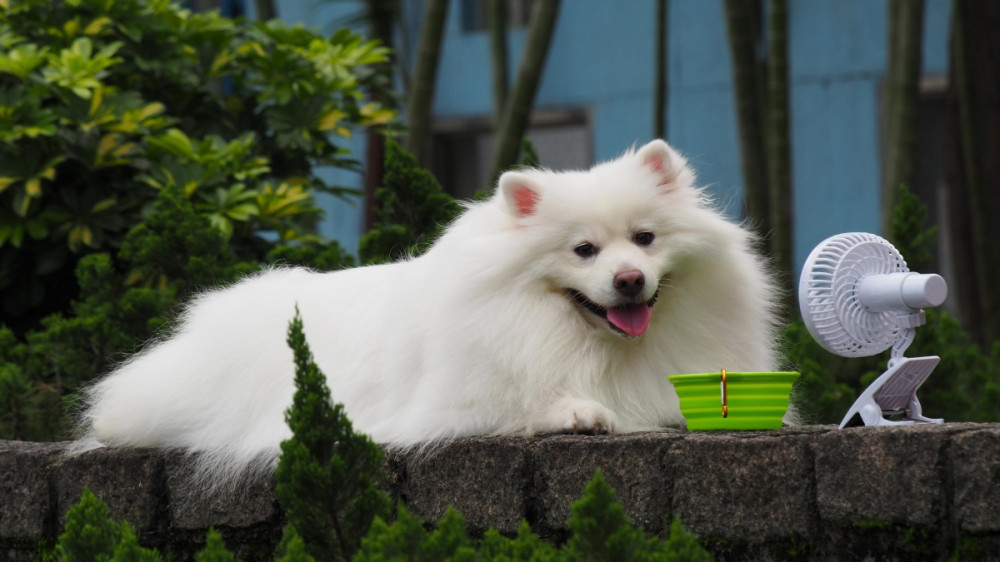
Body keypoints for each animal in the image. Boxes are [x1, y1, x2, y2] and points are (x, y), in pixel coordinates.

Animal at [80, 139, 780, 476]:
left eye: (645, 239)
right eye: (583, 251)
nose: (630, 280)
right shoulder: (458, 403)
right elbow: (526, 403)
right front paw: (579, 411)